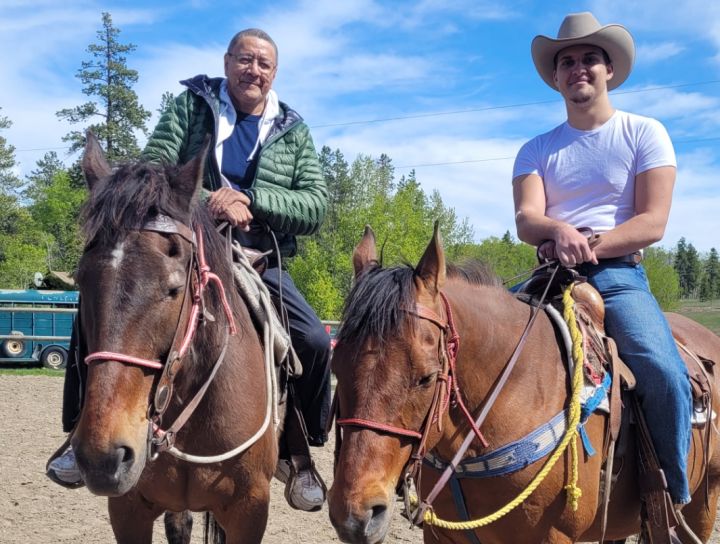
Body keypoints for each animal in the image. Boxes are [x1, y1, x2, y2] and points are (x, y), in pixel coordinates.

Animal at [328, 225, 720, 544]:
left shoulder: (552, 536)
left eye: (425, 377)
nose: (356, 515)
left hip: (702, 502)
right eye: (336, 367)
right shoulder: (441, 536)